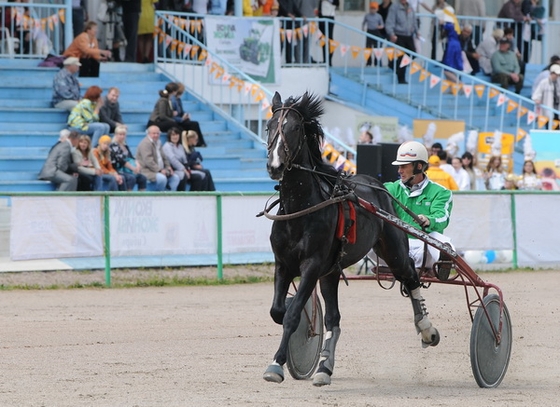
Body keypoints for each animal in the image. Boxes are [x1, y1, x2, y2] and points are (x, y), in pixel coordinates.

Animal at [264, 93, 442, 388]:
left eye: (296, 128)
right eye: (269, 125)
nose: (275, 166)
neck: (301, 208)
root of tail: (377, 184)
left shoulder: (311, 265)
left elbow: (290, 315)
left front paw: (276, 364)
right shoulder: (283, 263)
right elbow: (278, 311)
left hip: (393, 250)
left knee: (411, 277)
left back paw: (426, 329)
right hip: (331, 271)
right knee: (333, 318)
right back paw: (324, 367)